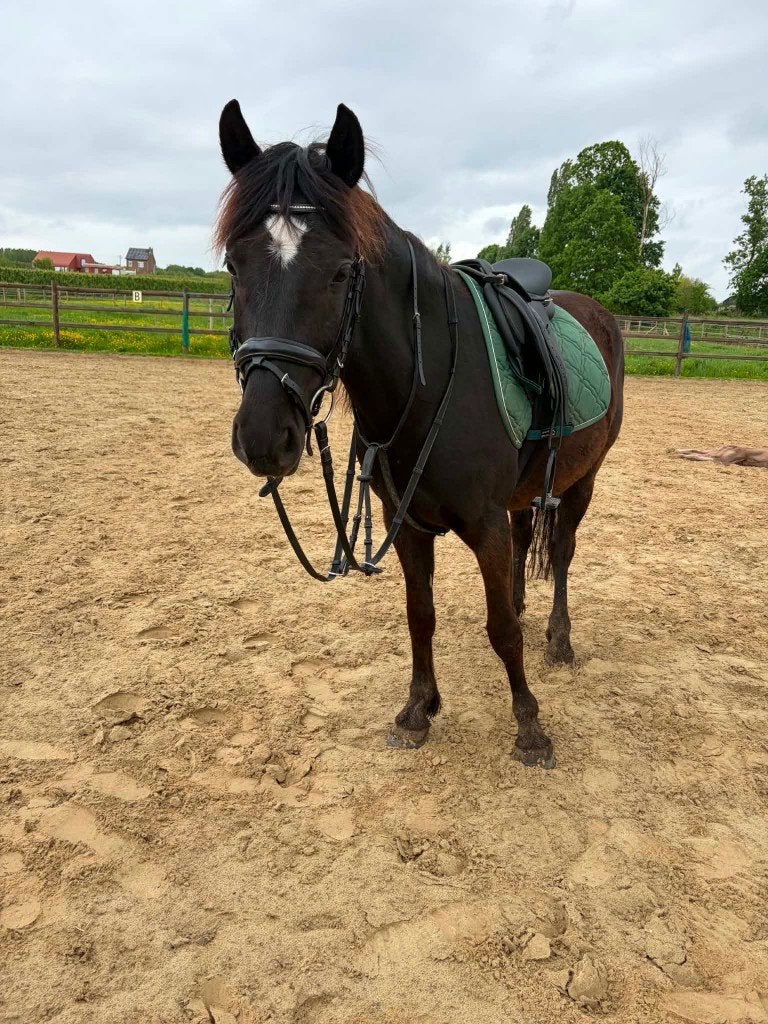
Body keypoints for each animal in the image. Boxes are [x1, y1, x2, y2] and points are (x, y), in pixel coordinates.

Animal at [216, 100, 624, 768]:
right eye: (234, 263)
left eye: (341, 272)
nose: (263, 436)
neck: (428, 387)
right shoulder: (404, 523)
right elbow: (420, 615)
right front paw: (417, 710)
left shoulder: (483, 524)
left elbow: (501, 630)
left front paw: (530, 726)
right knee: (526, 541)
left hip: (582, 478)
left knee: (561, 551)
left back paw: (559, 640)